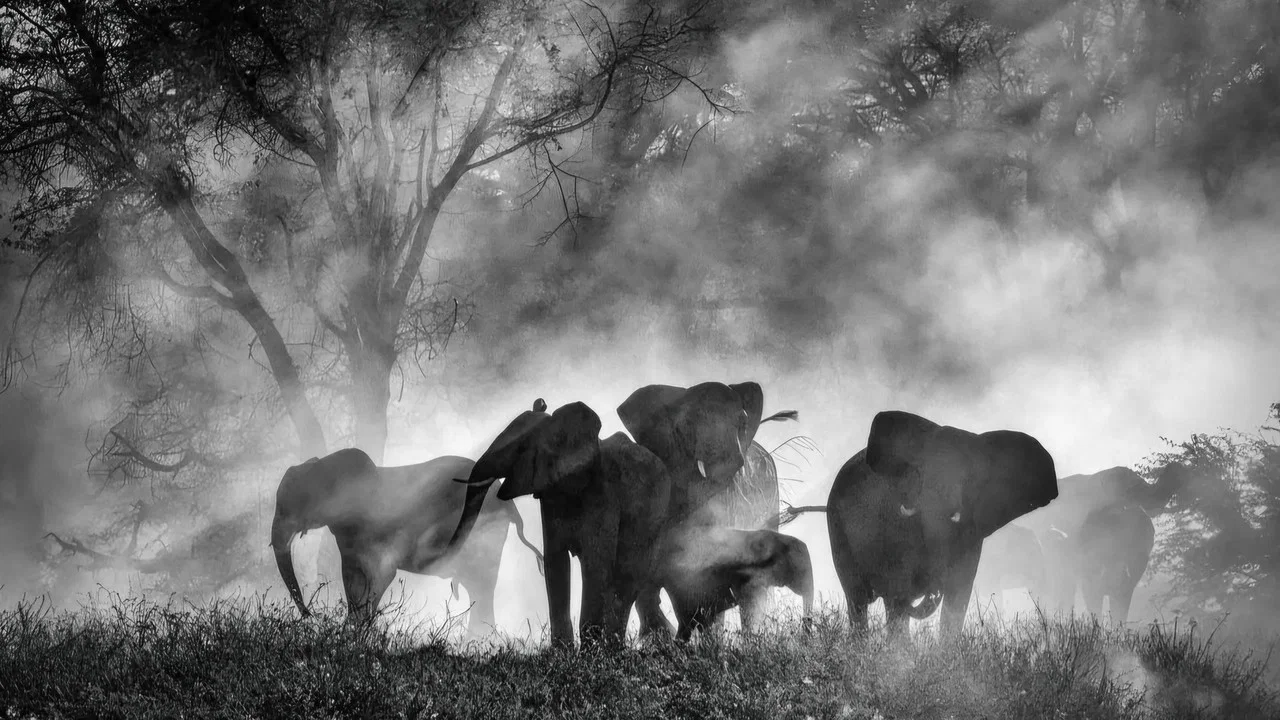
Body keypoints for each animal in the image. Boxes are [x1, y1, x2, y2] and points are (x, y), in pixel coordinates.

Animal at [271, 448, 543, 633]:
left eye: (293, 504)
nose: (310, 615)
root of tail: (510, 507)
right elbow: (352, 580)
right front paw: (352, 632)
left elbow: (381, 575)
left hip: (484, 533)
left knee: (481, 585)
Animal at [450, 399, 671, 648]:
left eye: (521, 449)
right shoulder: (550, 495)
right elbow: (555, 562)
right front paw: (562, 650)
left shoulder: (604, 494)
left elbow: (595, 563)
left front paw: (590, 651)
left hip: (654, 521)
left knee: (628, 577)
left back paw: (613, 648)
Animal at [827, 410, 1059, 639]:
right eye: (921, 472)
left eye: (969, 478)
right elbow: (898, 590)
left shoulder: (972, 533)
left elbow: (958, 594)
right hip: (837, 529)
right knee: (857, 600)